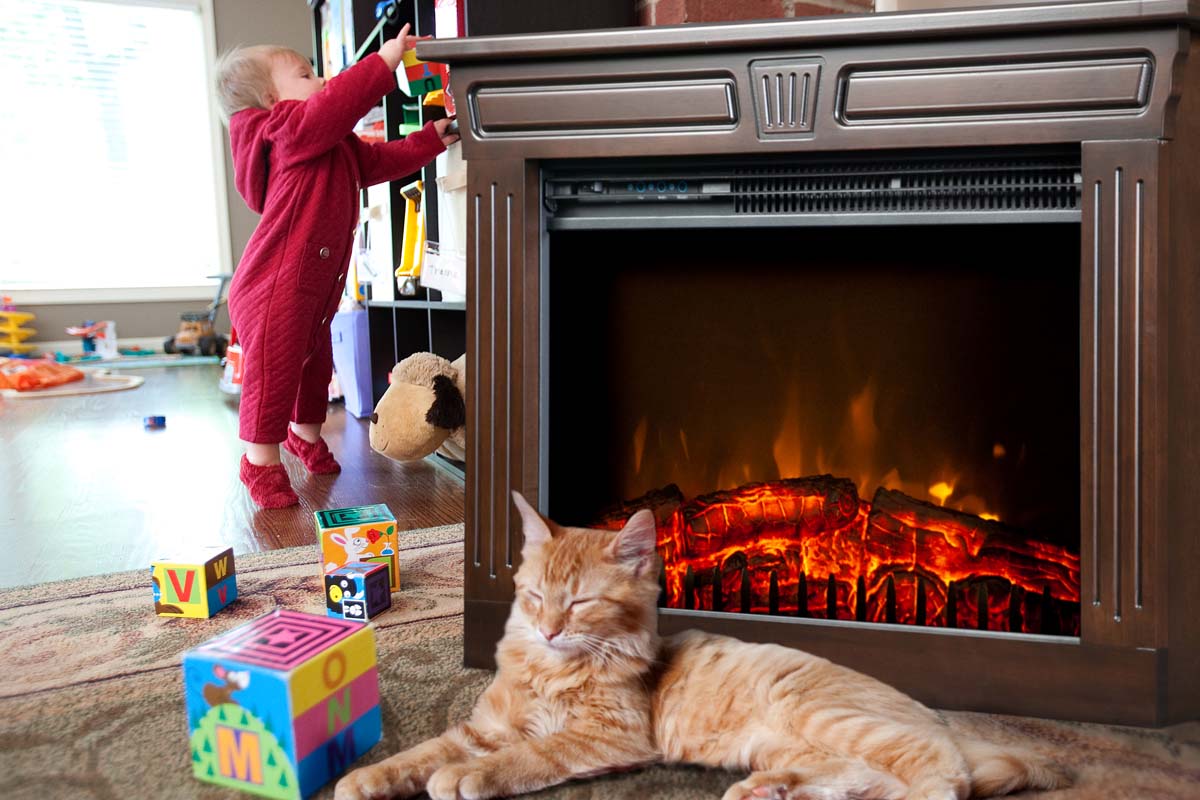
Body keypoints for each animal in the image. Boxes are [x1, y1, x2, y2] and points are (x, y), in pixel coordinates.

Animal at [336, 494, 1070, 800]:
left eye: (580, 603)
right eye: (536, 596)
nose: (549, 630)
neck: (551, 671)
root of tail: (932, 713)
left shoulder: (606, 738)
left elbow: (525, 757)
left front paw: (464, 780)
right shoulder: (479, 729)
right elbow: (419, 755)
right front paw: (361, 779)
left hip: (828, 716)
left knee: (941, 775)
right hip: (789, 742)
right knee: (874, 779)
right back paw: (772, 793)